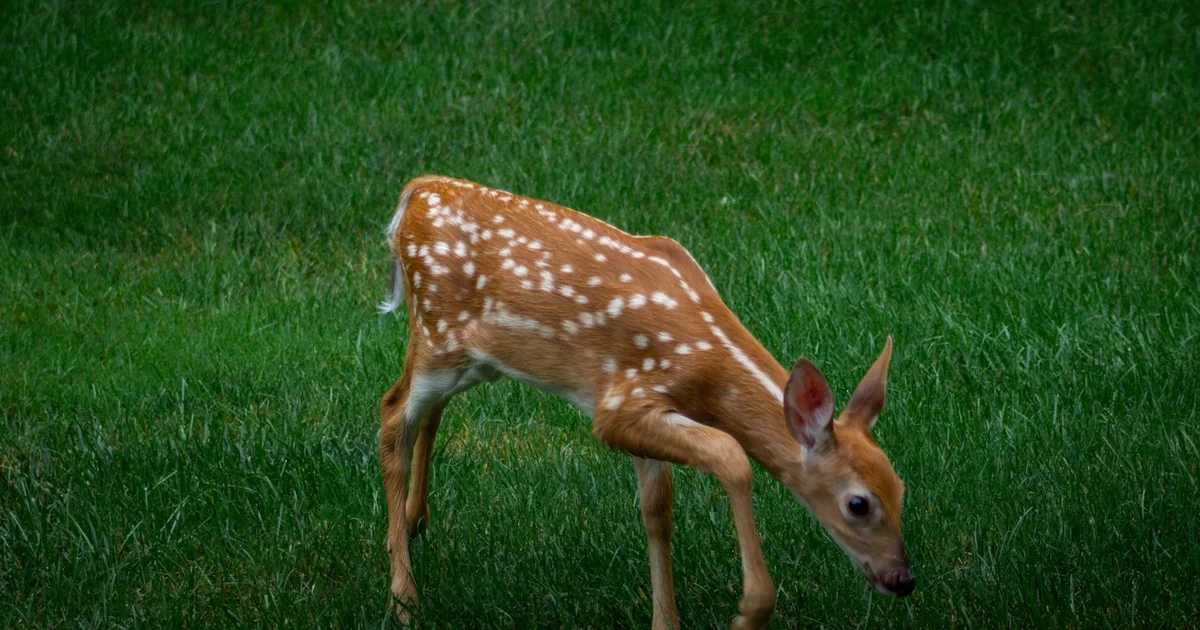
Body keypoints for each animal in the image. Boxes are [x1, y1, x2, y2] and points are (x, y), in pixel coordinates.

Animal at [377, 175, 914, 629]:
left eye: (900, 487)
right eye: (859, 504)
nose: (904, 579)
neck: (707, 369)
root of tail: (415, 192)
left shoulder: (642, 411)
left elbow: (657, 510)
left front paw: (665, 622)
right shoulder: (619, 406)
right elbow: (731, 456)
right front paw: (749, 611)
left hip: (472, 359)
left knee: (426, 413)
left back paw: (414, 520)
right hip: (439, 336)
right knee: (391, 413)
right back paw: (404, 599)